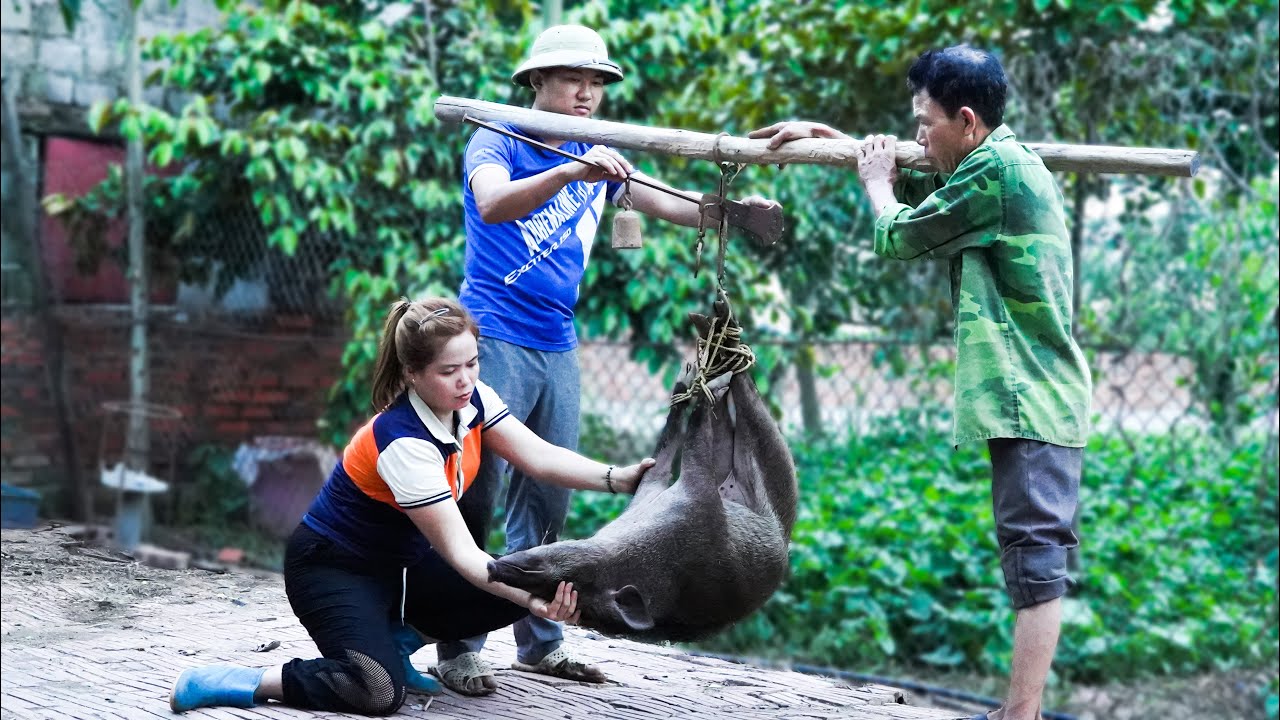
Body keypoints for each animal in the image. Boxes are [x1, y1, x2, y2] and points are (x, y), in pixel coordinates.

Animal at [483, 297, 793, 638]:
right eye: (554, 592)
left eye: (567, 580)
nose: (493, 567)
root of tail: (785, 536)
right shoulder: (668, 486)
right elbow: (679, 439)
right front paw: (696, 382)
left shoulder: (690, 492)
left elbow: (689, 434)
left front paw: (697, 382)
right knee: (733, 406)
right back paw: (723, 346)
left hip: (770, 465)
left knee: (745, 396)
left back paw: (725, 341)